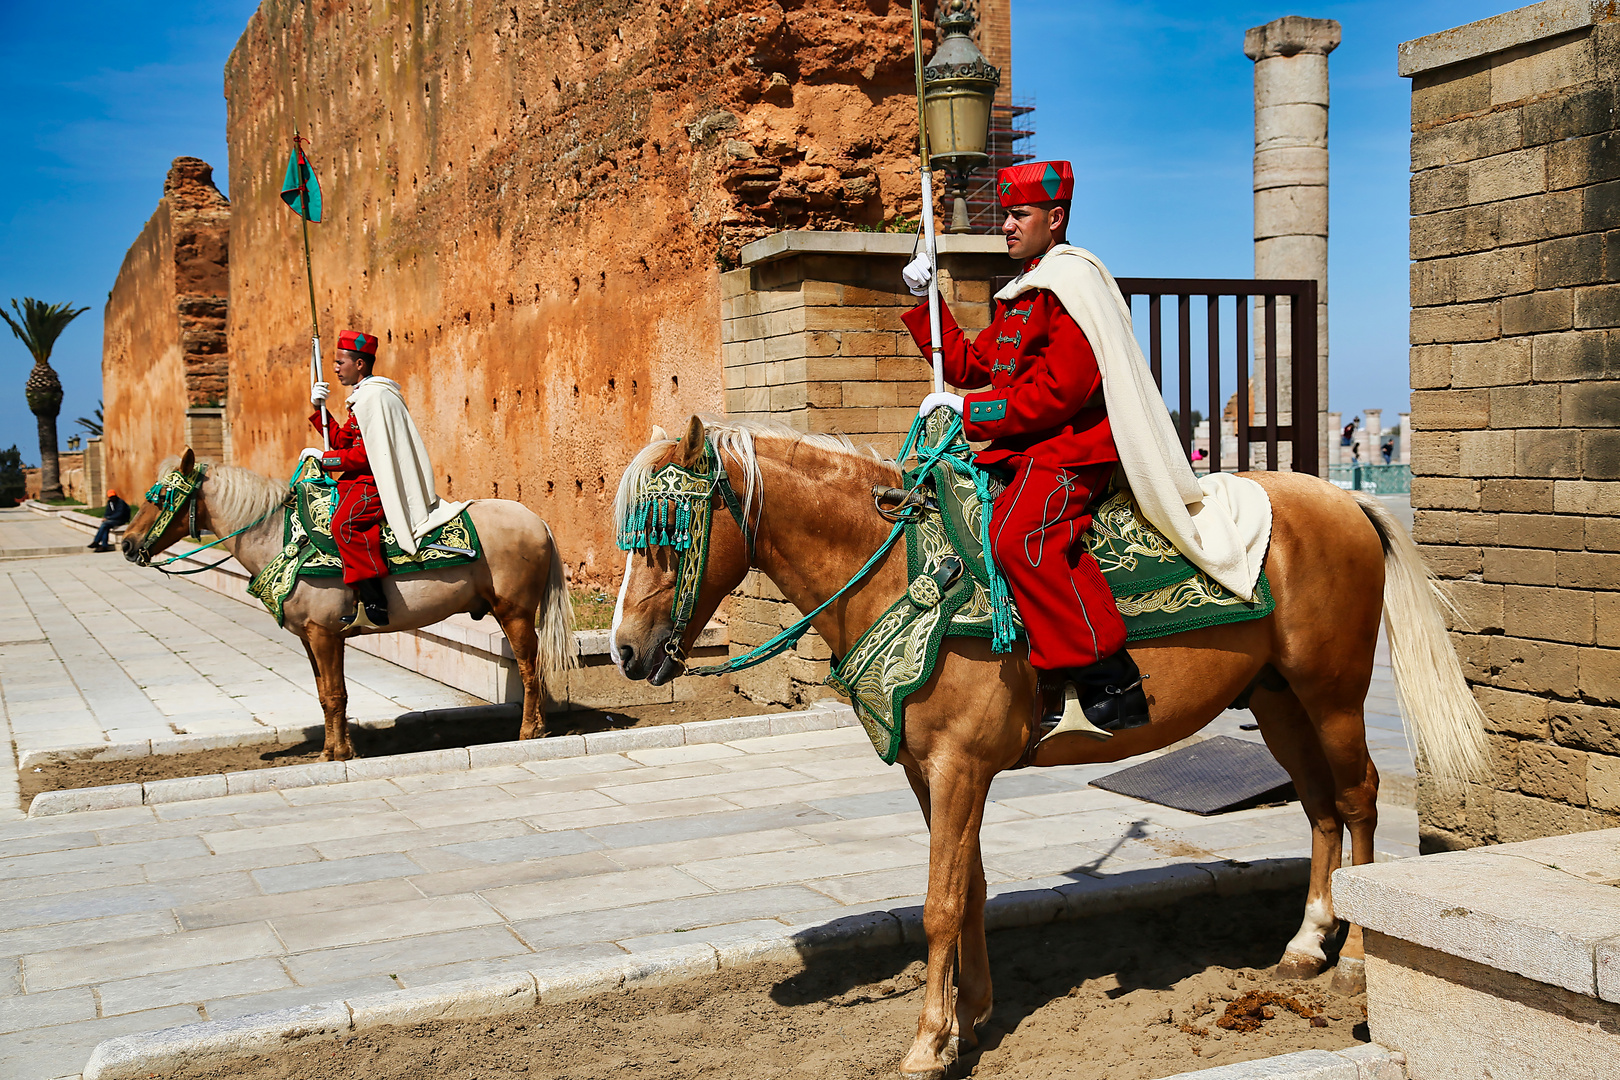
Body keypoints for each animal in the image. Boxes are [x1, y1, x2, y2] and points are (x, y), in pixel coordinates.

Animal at [121, 446, 576, 761]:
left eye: (159, 498)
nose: (126, 544)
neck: (281, 537)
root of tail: (537, 520)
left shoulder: (326, 634)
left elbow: (337, 694)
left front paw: (341, 753)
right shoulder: (309, 638)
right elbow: (325, 695)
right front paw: (329, 751)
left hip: (514, 611)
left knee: (529, 667)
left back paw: (529, 732)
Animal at [612, 417, 1483, 1080]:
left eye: (668, 533)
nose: (624, 651)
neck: (899, 570)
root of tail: (1344, 501)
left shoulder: (960, 768)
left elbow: (939, 903)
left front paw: (928, 1044)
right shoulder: (935, 774)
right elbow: (968, 887)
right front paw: (971, 1016)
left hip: (1331, 693)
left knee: (1358, 798)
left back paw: (1359, 953)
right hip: (1275, 700)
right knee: (1318, 807)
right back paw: (1306, 942)